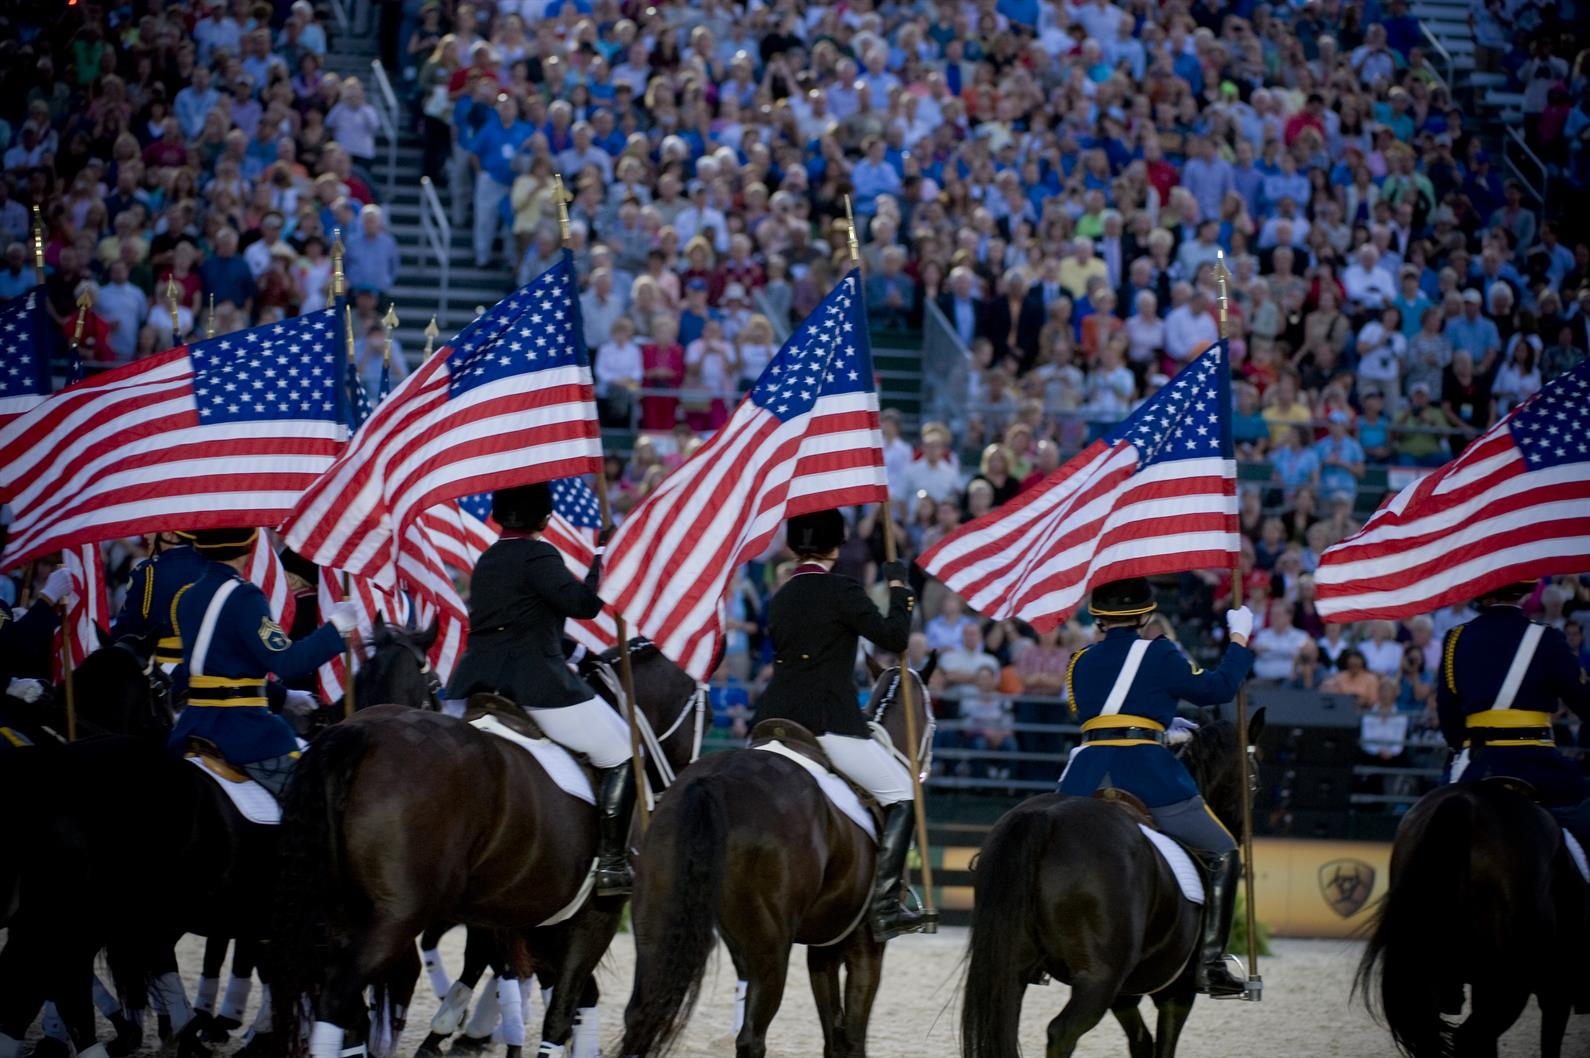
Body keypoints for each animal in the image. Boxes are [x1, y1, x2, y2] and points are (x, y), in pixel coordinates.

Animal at [610, 661, 928, 1056]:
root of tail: (713, 781)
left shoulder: (824, 948)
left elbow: (834, 1038)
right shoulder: (865, 948)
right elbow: (853, 1040)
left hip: (656, 926)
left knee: (640, 1015)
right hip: (770, 947)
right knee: (751, 1037)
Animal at [960, 706, 1259, 1056]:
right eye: (1254, 782)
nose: (1243, 833)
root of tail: (1044, 818)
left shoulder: (1125, 994)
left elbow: (1141, 1043)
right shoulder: (1176, 991)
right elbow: (1162, 1047)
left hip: (1012, 967)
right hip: (1098, 979)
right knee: (1062, 1031)